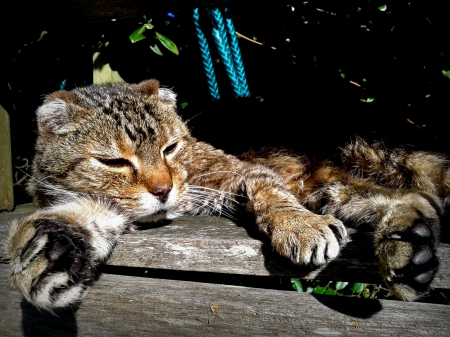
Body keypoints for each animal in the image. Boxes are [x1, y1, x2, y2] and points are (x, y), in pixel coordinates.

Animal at [4, 79, 442, 310]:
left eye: (170, 148)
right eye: (113, 162)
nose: (163, 190)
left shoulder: (240, 172)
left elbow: (270, 191)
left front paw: (299, 225)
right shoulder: (102, 205)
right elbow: (72, 215)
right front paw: (46, 253)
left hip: (383, 160)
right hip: (332, 188)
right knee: (411, 200)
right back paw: (410, 249)